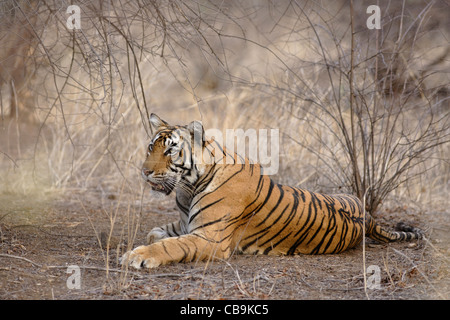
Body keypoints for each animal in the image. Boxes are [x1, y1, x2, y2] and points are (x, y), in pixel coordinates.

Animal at [121, 114, 424, 268]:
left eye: (171, 150)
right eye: (152, 146)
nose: (144, 172)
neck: (188, 186)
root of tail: (368, 214)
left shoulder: (211, 238)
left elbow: (170, 245)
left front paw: (137, 256)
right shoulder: (187, 224)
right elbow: (156, 233)